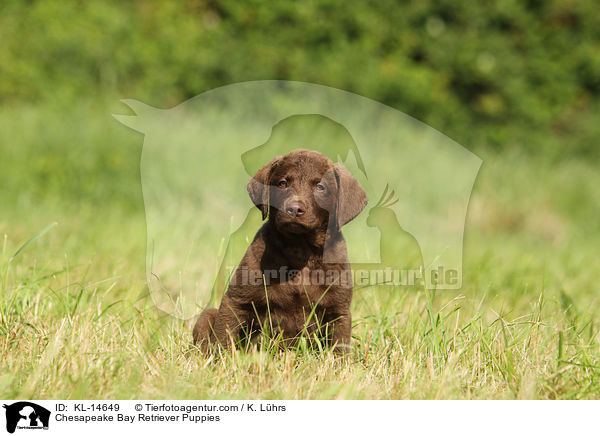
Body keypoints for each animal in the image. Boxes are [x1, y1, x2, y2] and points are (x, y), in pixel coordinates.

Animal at [195, 150, 368, 354]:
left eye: (320, 187)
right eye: (283, 183)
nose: (294, 209)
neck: (301, 249)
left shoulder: (338, 311)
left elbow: (339, 348)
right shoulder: (236, 299)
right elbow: (223, 335)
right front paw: (219, 359)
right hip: (207, 316)